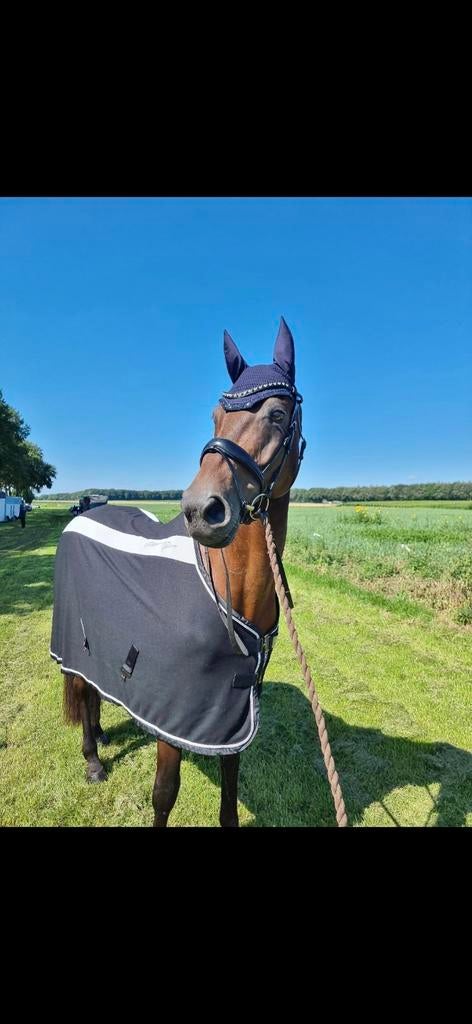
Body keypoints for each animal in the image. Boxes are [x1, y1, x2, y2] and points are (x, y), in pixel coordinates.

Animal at [51, 317, 305, 826]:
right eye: (215, 415)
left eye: (276, 414)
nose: (200, 509)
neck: (229, 592)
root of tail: (81, 513)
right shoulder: (174, 714)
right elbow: (165, 793)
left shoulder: (231, 714)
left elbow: (230, 788)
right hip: (74, 641)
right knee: (82, 691)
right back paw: (92, 760)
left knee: (93, 690)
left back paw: (102, 736)